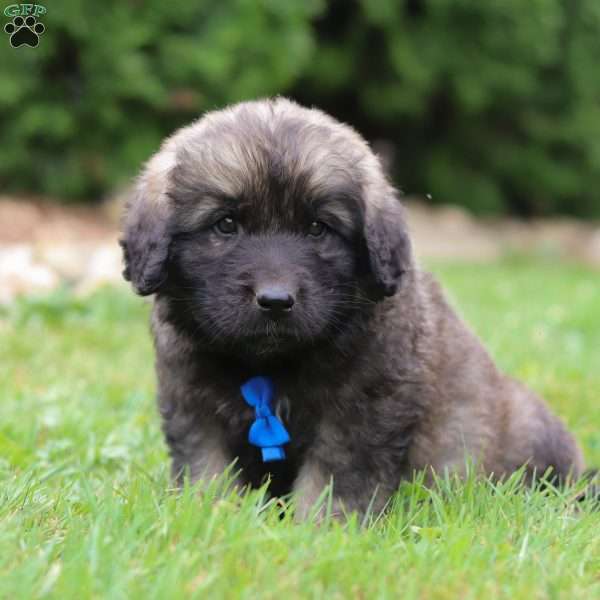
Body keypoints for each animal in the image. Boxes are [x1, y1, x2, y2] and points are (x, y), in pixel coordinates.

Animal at [120, 97, 584, 516]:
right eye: (226, 224)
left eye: (317, 228)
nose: (275, 300)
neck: (271, 365)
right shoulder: (193, 406)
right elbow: (209, 470)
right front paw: (209, 516)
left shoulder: (361, 415)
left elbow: (332, 481)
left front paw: (318, 531)